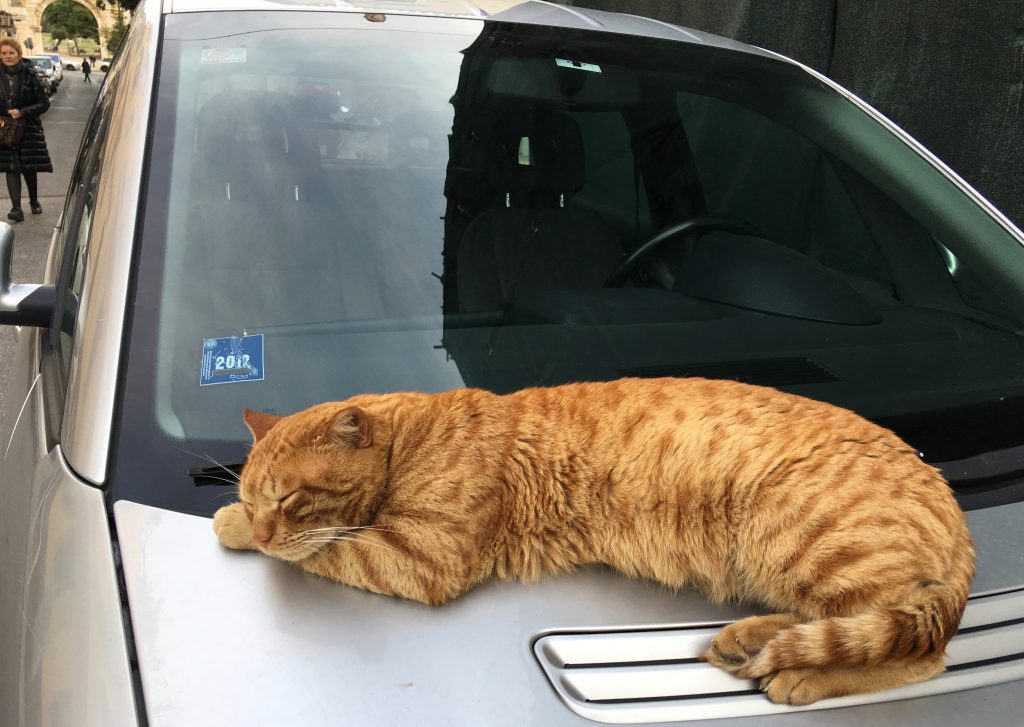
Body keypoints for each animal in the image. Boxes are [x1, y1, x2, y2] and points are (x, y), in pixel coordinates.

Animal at [211, 378, 970, 708]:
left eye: (285, 498)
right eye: (256, 494)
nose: (261, 520)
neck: (414, 435)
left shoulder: (423, 554)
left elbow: (329, 546)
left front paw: (235, 529)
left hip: (799, 536)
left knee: (919, 652)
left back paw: (802, 673)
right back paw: (748, 640)